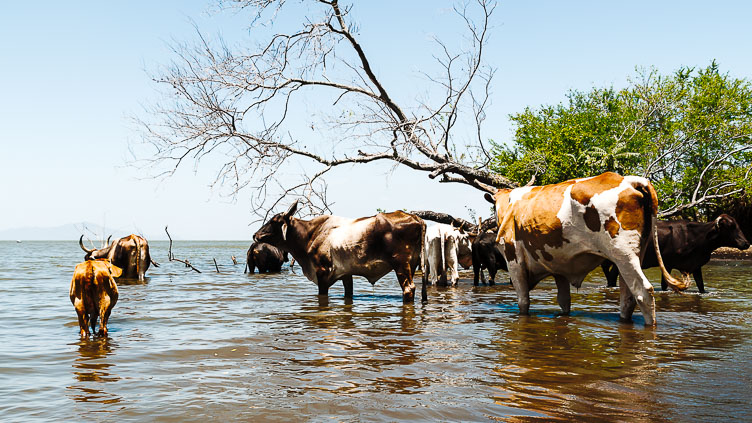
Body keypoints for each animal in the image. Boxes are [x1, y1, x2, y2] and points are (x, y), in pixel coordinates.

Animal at [253, 201, 426, 302]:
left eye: (273, 221)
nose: (255, 235)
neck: (309, 235)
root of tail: (417, 219)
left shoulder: (322, 272)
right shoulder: (345, 274)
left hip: (401, 265)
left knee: (408, 289)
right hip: (414, 265)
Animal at [485, 172, 690, 327]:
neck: (511, 205)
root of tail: (630, 180)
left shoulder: (514, 261)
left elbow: (523, 302)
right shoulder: (559, 266)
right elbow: (564, 301)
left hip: (624, 254)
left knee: (643, 292)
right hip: (633, 256)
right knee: (628, 297)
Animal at [601, 214, 750, 293]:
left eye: (737, 225)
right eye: (730, 227)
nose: (746, 243)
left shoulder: (696, 266)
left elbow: (701, 285)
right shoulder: (667, 264)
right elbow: (664, 285)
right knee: (612, 276)